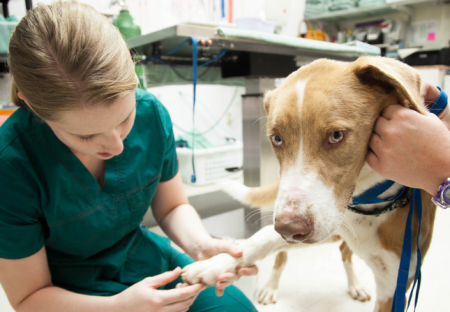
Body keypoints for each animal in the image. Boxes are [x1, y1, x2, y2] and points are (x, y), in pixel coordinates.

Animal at [180, 56, 436, 312]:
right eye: (276, 138)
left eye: (336, 135)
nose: (288, 229)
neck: (367, 206)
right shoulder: (325, 227)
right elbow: (261, 238)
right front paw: (215, 264)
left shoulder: (394, 286)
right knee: (284, 254)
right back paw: (270, 287)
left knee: (344, 253)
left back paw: (354, 285)